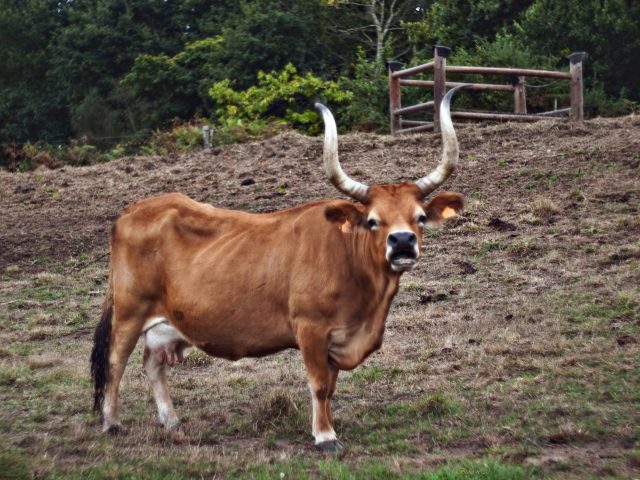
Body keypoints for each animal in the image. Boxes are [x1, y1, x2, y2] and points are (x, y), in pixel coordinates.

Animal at [90, 85, 464, 450]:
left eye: (419, 217)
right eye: (373, 221)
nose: (401, 242)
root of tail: (132, 210)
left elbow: (331, 387)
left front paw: (328, 426)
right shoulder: (310, 330)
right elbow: (318, 385)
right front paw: (324, 435)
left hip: (165, 322)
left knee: (152, 364)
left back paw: (170, 420)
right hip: (129, 312)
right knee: (114, 363)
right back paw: (111, 423)